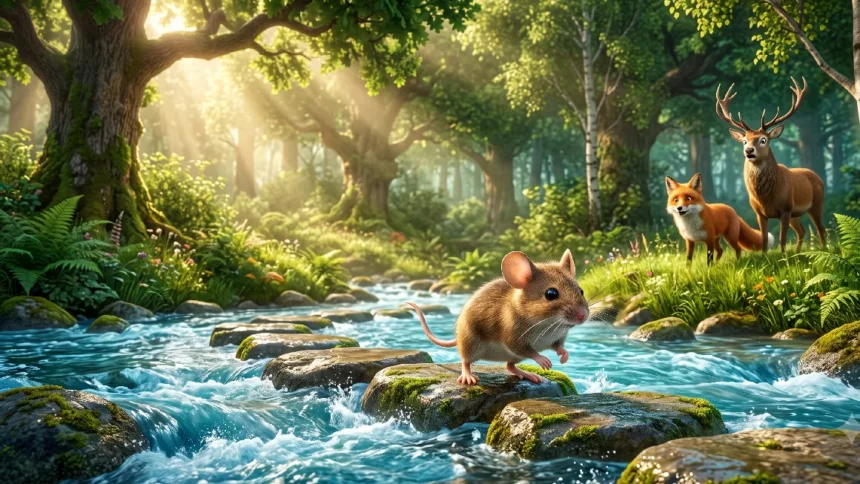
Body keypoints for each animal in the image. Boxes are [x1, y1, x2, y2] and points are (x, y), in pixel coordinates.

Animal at [715, 77, 826, 254]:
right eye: (744, 141)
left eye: (763, 140)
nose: (749, 150)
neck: (766, 198)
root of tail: (818, 177)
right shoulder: (759, 213)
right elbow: (764, 238)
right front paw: (765, 255)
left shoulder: (786, 209)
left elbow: (782, 238)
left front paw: (784, 257)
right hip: (796, 214)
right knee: (802, 230)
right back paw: (798, 251)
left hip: (816, 202)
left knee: (821, 229)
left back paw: (824, 250)